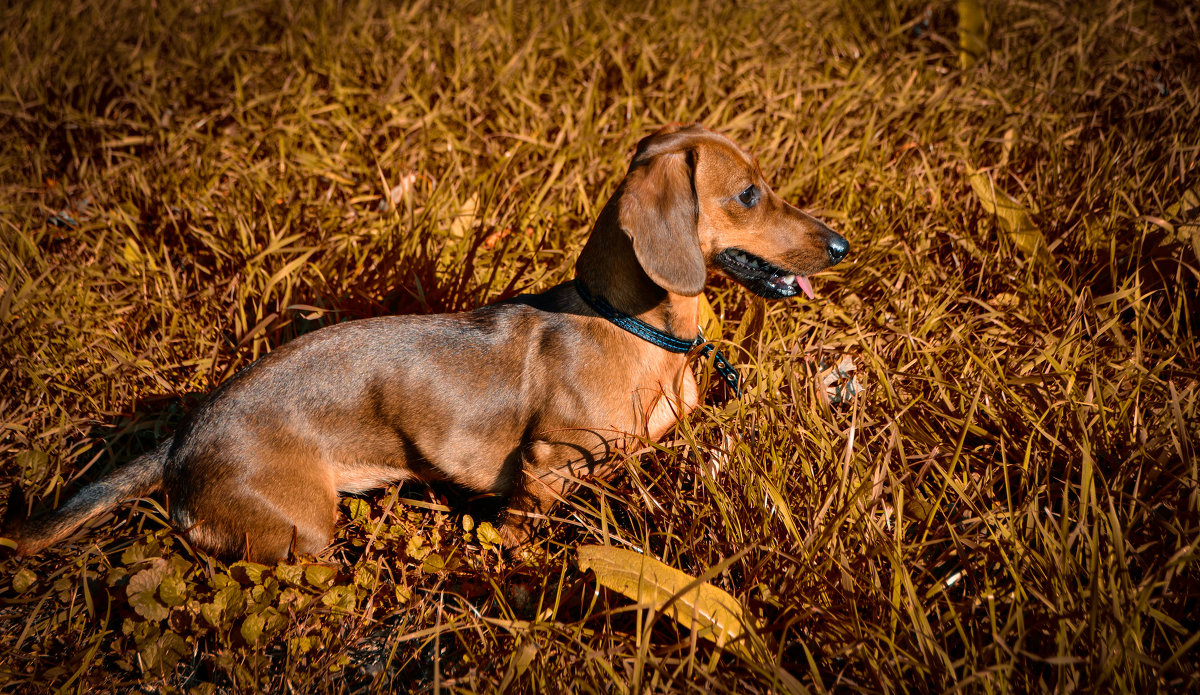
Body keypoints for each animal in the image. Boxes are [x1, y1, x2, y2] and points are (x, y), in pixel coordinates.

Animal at [14, 124, 849, 561]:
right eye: (749, 193)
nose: (843, 246)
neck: (628, 324)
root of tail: (187, 437)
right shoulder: (547, 465)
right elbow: (521, 526)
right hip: (303, 532)